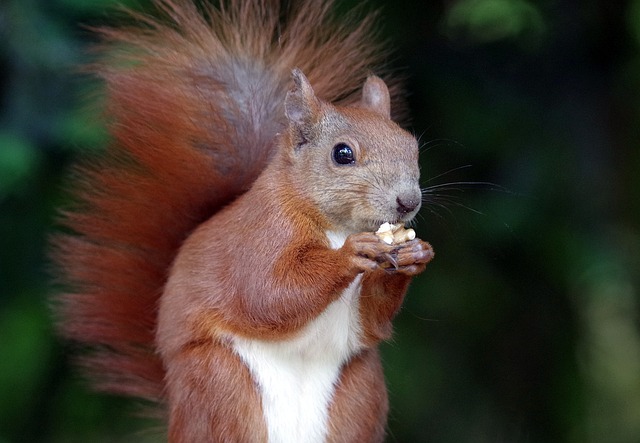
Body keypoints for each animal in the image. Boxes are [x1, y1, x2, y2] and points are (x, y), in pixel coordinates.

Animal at [53, 0, 436, 443]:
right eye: (343, 154)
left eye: (411, 146)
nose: (408, 202)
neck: (335, 225)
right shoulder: (260, 236)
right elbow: (267, 293)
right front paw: (349, 255)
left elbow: (371, 322)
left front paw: (415, 255)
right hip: (219, 385)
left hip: (359, 393)